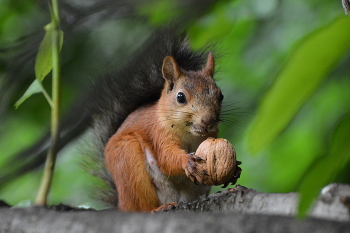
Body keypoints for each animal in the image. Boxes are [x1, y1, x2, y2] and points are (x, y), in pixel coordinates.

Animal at [104, 52, 226, 212]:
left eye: (221, 95)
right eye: (180, 97)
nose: (208, 120)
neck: (190, 134)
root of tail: (121, 204)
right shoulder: (158, 134)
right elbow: (165, 157)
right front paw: (187, 161)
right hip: (128, 162)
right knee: (141, 205)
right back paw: (158, 208)